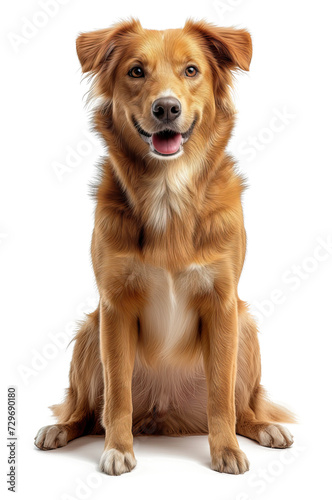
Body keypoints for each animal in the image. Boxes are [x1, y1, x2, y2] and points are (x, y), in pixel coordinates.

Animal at [35, 17, 296, 474]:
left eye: (191, 70)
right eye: (136, 71)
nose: (167, 108)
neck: (168, 192)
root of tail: (167, 416)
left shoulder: (222, 303)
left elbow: (221, 395)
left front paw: (225, 450)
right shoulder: (114, 306)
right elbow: (117, 394)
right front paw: (118, 449)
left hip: (245, 327)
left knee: (241, 406)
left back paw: (263, 428)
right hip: (90, 331)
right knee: (86, 411)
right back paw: (61, 429)